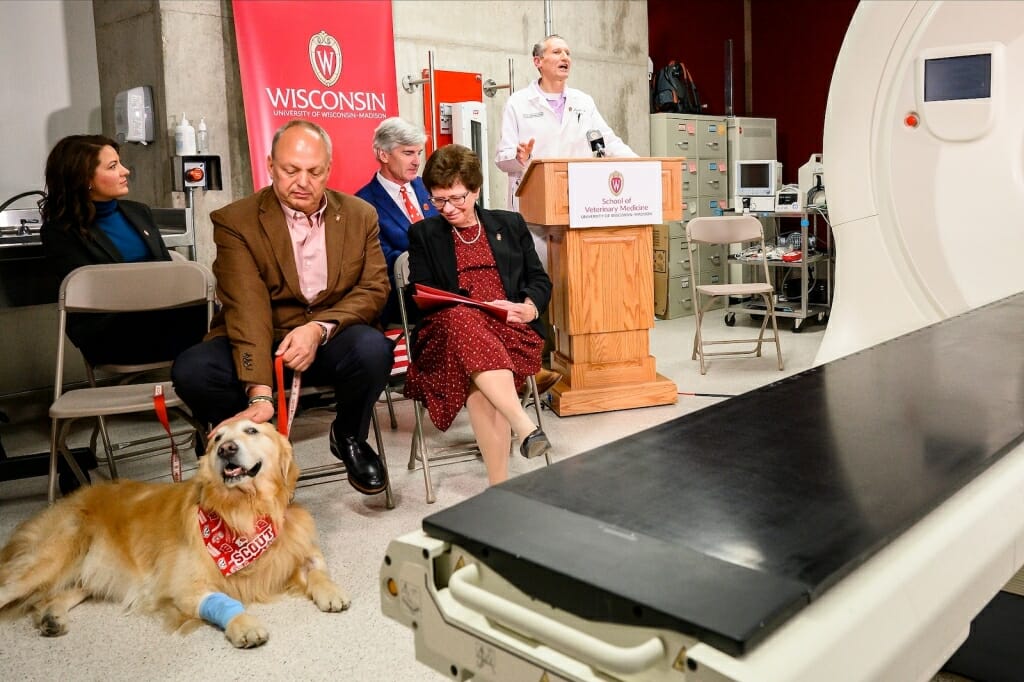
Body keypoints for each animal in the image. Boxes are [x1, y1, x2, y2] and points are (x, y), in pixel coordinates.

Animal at [0, 417, 348, 647]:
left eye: (252, 430)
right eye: (216, 439)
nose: (226, 449)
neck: (244, 512)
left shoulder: (296, 548)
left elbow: (317, 569)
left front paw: (331, 591)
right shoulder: (183, 585)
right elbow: (221, 600)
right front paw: (244, 624)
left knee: (54, 594)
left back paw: (52, 617)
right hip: (50, 558)